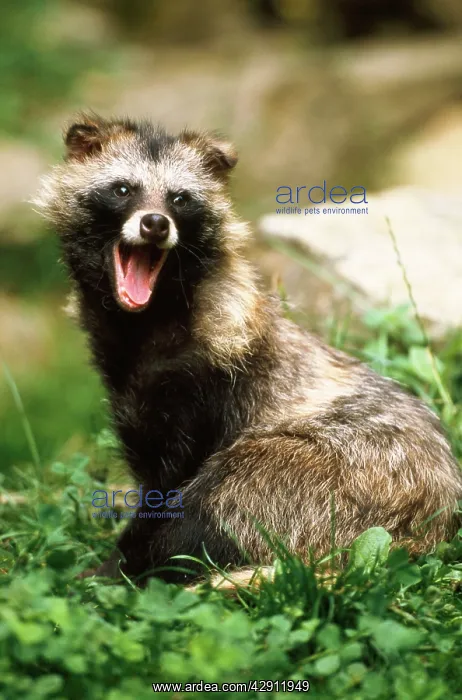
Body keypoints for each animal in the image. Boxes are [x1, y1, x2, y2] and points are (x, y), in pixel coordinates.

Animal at [36, 114, 462, 582]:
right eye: (123, 189)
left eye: (180, 198)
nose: (156, 224)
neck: (145, 325)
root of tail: (429, 528)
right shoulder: (135, 396)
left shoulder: (209, 386)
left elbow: (168, 491)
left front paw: (119, 562)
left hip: (319, 475)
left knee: (214, 503)